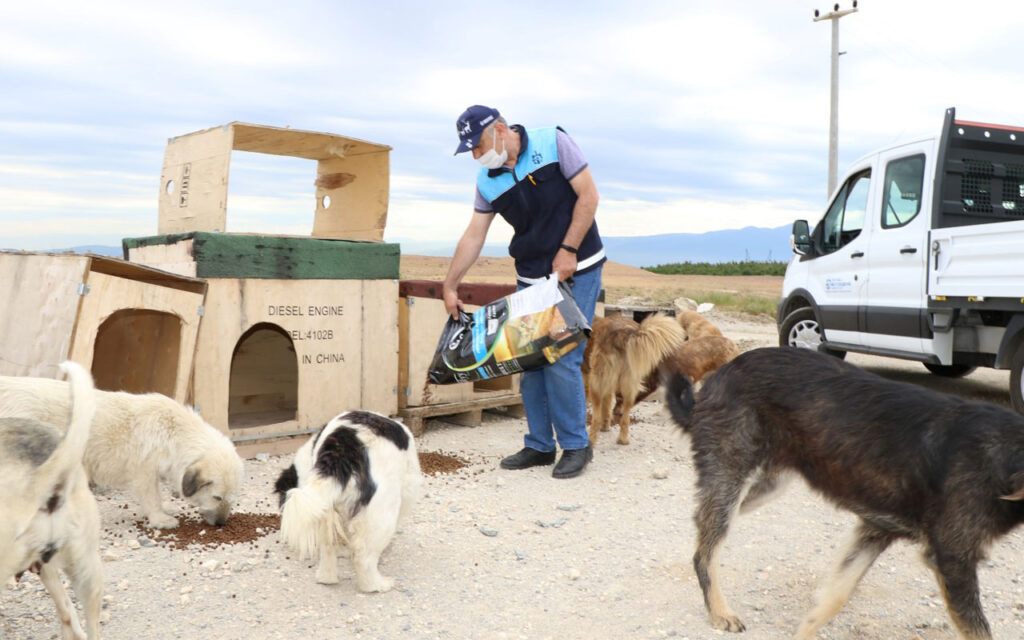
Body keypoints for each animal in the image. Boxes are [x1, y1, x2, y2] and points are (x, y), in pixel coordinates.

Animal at [0, 372, 242, 528]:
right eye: (217, 497)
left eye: (231, 497)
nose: (221, 524)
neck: (174, 432)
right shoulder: (144, 474)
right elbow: (152, 497)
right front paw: (160, 519)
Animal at [272, 411, 419, 589]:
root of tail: (342, 450)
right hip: (383, 510)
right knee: (364, 557)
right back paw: (377, 585)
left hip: (325, 509)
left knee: (328, 547)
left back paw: (327, 578)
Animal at [585, 313, 688, 444]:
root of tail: (625, 333)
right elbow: (607, 407)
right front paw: (606, 426)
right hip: (628, 383)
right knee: (625, 415)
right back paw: (623, 439)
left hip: (598, 382)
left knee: (596, 417)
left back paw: (591, 439)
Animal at [663, 346, 1024, 634]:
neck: (1005, 458)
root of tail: (719, 376)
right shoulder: (953, 560)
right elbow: (979, 631)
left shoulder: (876, 529)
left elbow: (833, 598)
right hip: (731, 477)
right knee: (707, 547)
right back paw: (719, 610)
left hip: (764, 485)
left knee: (701, 525)